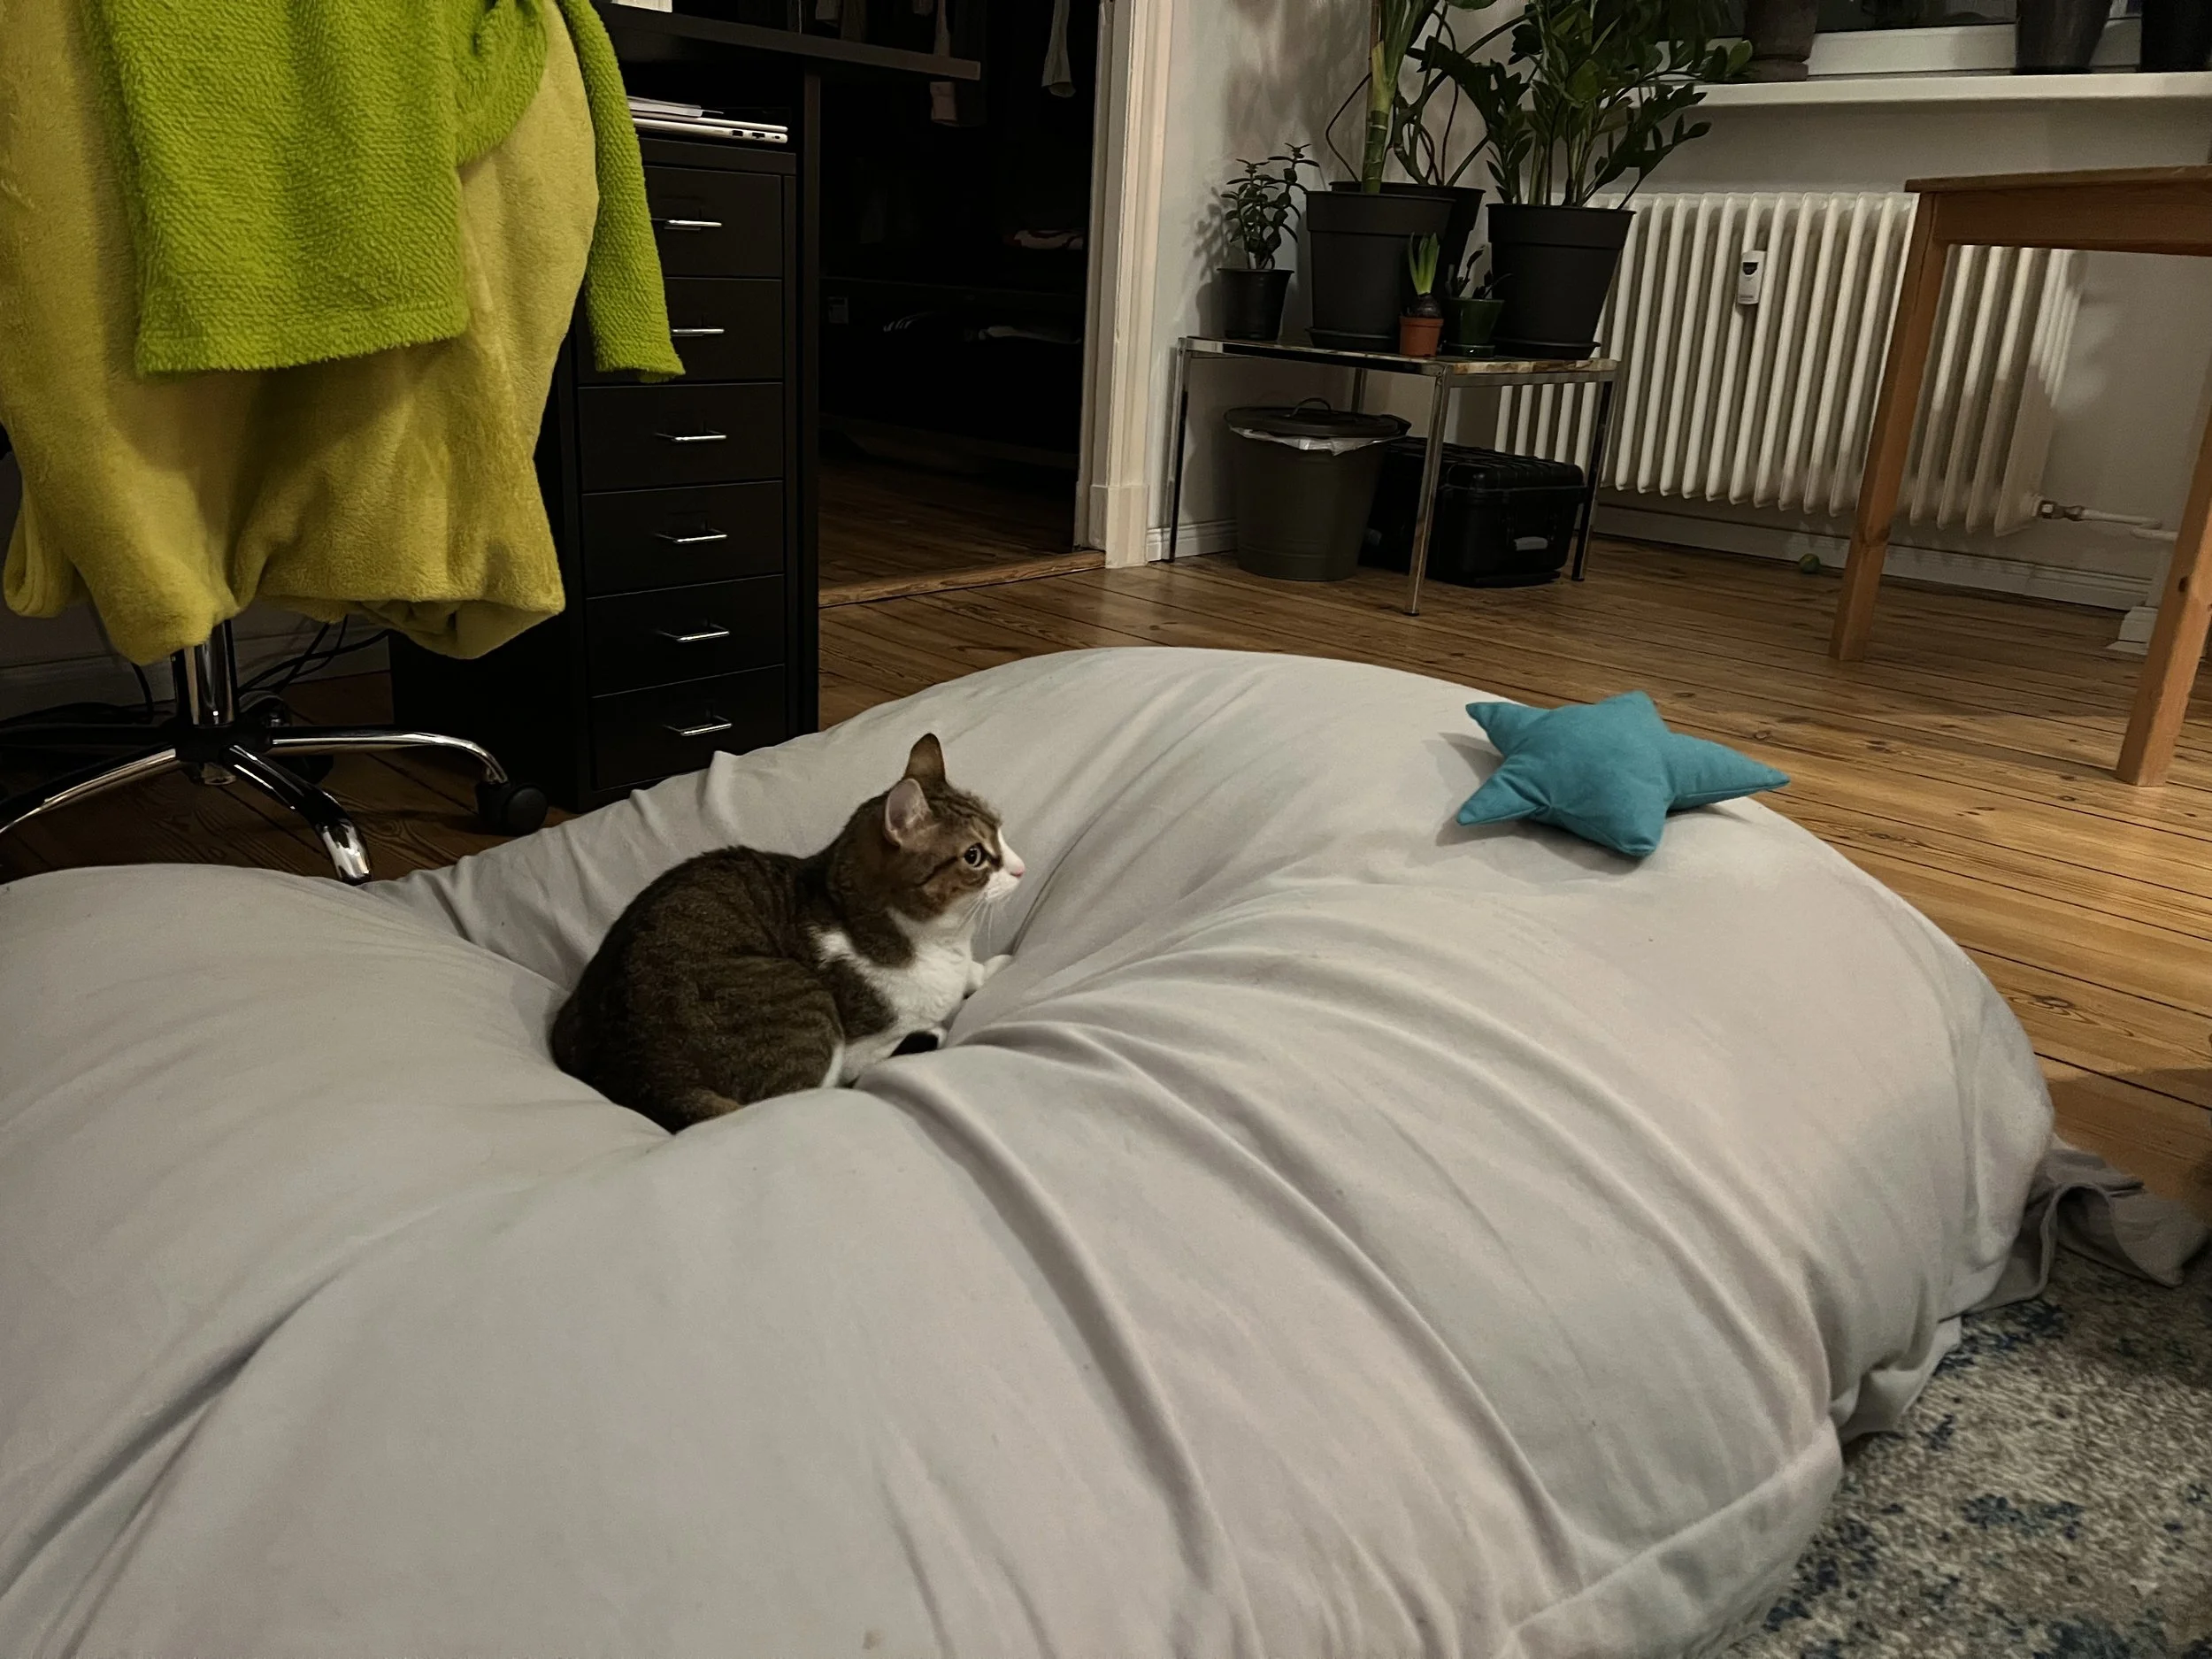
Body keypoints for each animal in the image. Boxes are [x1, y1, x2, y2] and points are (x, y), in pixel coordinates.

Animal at [550, 733, 1023, 1132]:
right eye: (975, 856)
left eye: (1000, 830)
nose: (1021, 868)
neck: (937, 943)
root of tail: (642, 1077)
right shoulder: (860, 1048)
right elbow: (876, 1060)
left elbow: (974, 973)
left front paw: (996, 966)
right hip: (802, 997)